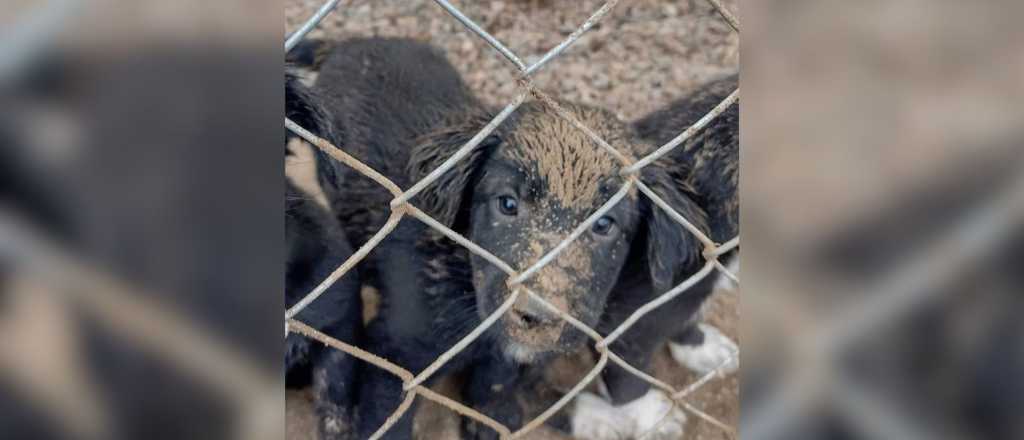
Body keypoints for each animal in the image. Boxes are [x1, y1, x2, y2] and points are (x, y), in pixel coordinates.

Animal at [303, 38, 704, 440]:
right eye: (507, 204)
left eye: (605, 225)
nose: (537, 317)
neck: (460, 275)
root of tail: (354, 42)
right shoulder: (395, 353)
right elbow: (389, 423)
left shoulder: (505, 360)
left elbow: (495, 389)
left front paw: (489, 421)